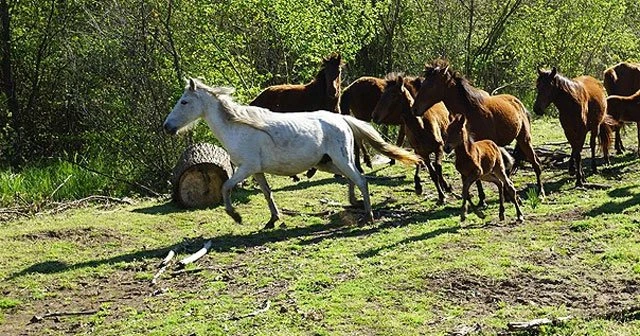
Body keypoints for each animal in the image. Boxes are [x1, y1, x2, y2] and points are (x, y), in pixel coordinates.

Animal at [162, 79, 422, 228]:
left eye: (184, 102)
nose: (167, 127)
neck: (237, 127)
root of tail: (342, 119)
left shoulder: (246, 169)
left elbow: (226, 188)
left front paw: (236, 216)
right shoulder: (256, 171)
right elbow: (267, 193)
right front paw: (273, 219)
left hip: (340, 159)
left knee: (361, 179)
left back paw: (367, 216)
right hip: (329, 163)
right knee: (353, 178)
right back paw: (353, 202)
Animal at [370, 75, 450, 203]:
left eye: (394, 95)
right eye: (382, 95)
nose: (374, 116)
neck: (421, 127)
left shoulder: (439, 147)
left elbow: (438, 168)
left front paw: (445, 188)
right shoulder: (423, 153)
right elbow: (433, 173)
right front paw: (441, 195)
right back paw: (418, 186)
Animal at [410, 58, 544, 203]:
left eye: (431, 85)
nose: (415, 109)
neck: (469, 110)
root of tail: (519, 103)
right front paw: (481, 199)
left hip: (524, 138)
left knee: (535, 162)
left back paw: (540, 192)